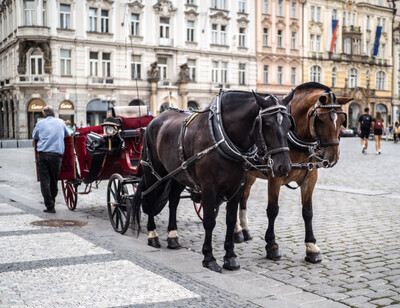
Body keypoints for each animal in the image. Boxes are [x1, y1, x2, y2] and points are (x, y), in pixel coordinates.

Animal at [133, 89, 292, 272]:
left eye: (289, 124)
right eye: (267, 124)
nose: (284, 167)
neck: (220, 134)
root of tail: (155, 120)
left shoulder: (237, 187)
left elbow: (231, 220)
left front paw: (230, 257)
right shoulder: (209, 188)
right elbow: (209, 220)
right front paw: (209, 258)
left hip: (178, 174)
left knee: (173, 201)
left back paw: (173, 236)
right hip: (153, 172)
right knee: (150, 199)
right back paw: (152, 235)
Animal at [234, 82, 354, 262]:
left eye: (341, 120)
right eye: (320, 119)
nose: (332, 158)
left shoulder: (310, 178)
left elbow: (307, 212)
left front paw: (311, 247)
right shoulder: (275, 177)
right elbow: (273, 210)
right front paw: (272, 246)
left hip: (249, 176)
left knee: (243, 198)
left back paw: (245, 229)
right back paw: (236, 231)